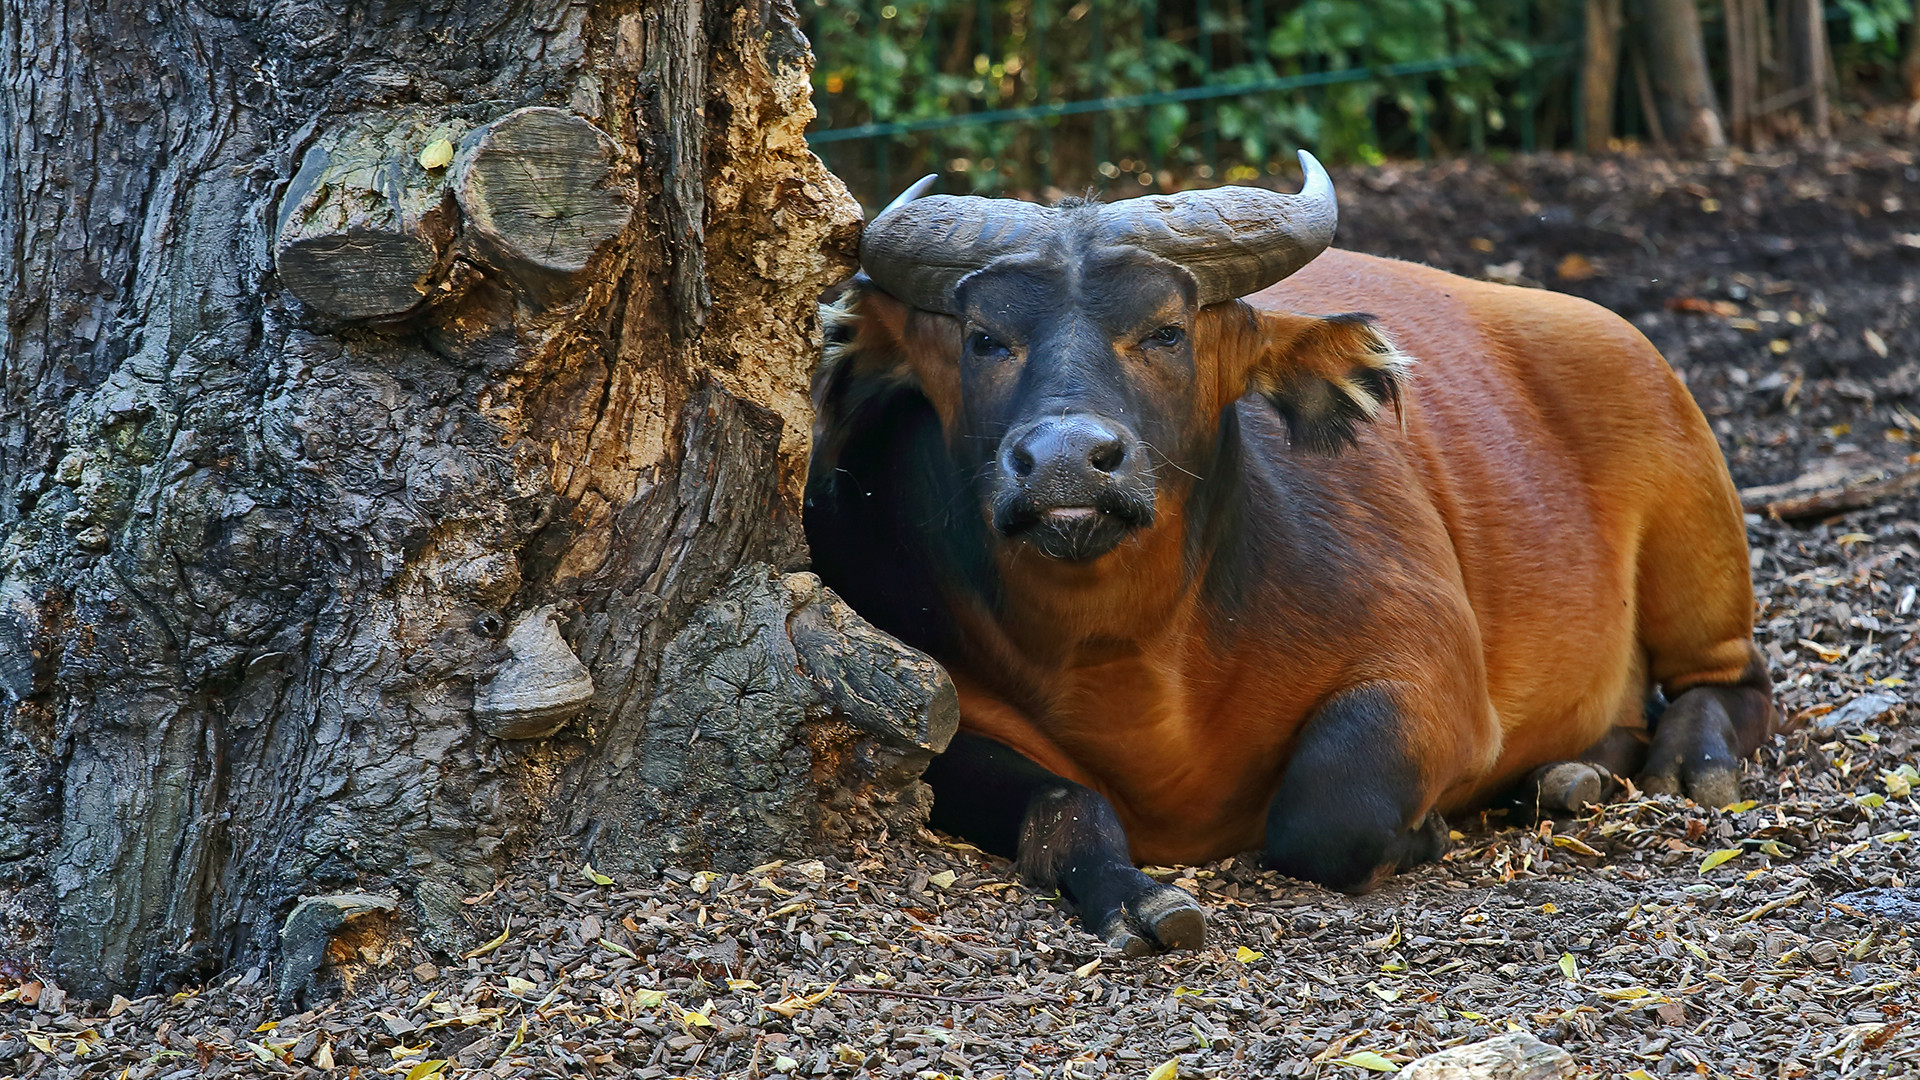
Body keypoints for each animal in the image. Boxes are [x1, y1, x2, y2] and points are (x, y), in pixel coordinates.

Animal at [802, 153, 1774, 949]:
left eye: (1166, 330)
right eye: (985, 339)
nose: (1068, 461)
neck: (1133, 663)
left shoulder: (1434, 673)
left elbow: (1325, 812)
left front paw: (1425, 828)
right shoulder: (938, 712)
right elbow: (1061, 807)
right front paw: (1135, 896)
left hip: (1693, 513)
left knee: (1733, 677)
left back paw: (1691, 761)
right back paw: (1572, 773)